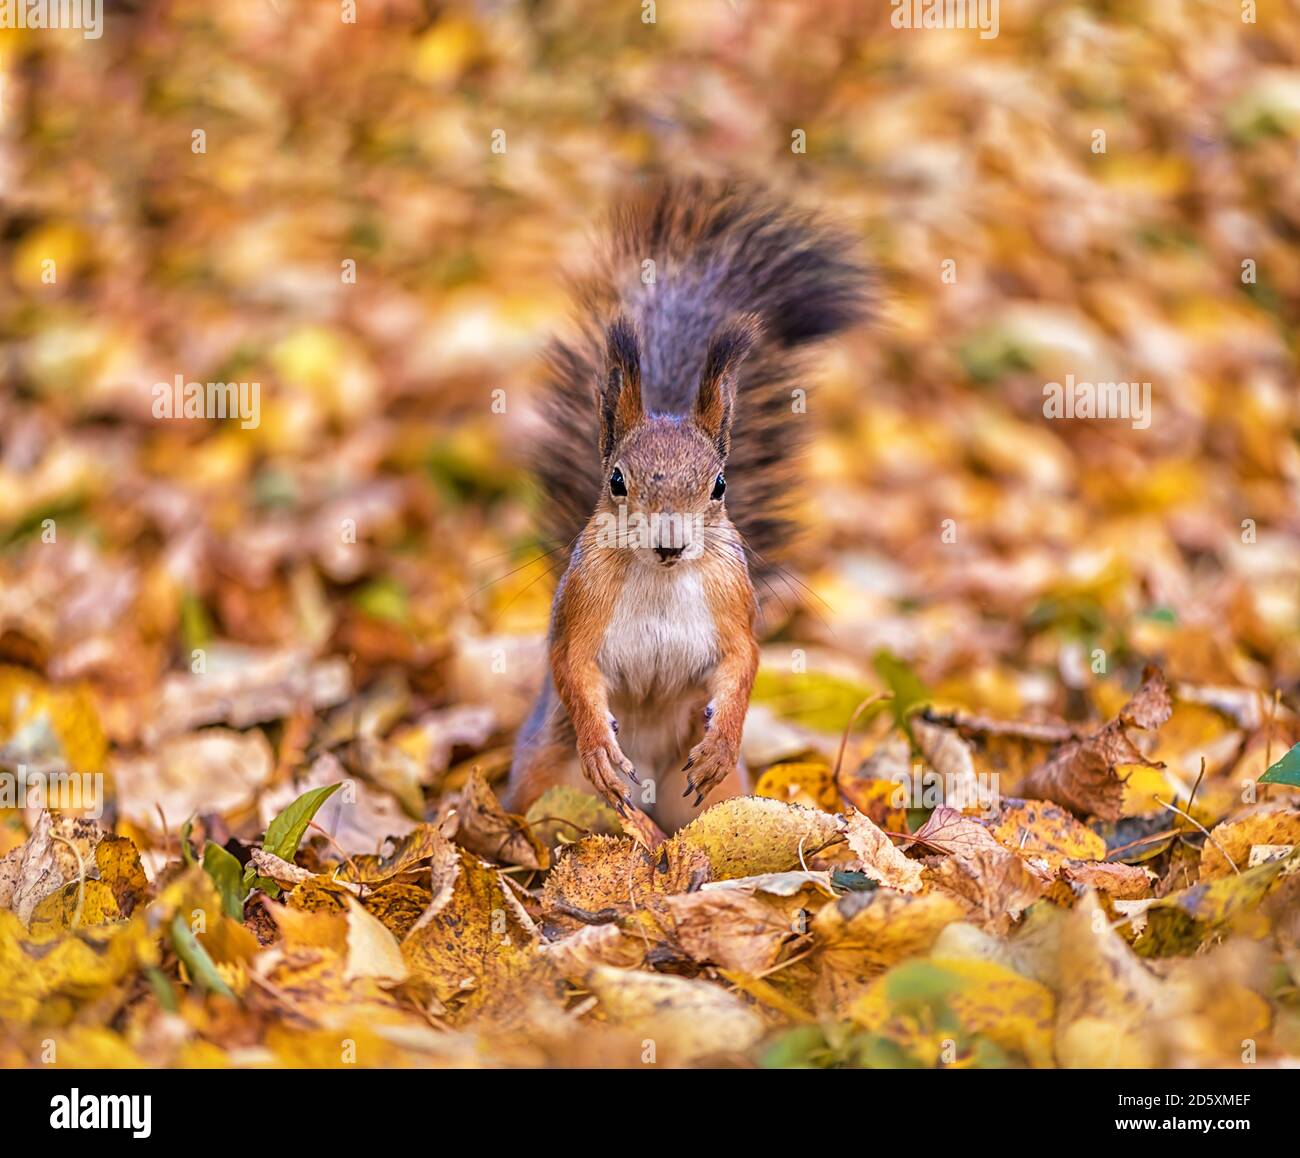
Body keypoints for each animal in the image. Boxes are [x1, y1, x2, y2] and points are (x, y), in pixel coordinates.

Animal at [501, 179, 868, 842]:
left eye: (720, 484)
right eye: (616, 480)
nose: (670, 543)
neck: (661, 581)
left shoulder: (732, 602)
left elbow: (744, 662)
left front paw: (720, 741)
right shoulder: (582, 605)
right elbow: (572, 666)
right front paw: (600, 747)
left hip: (715, 799)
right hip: (548, 777)